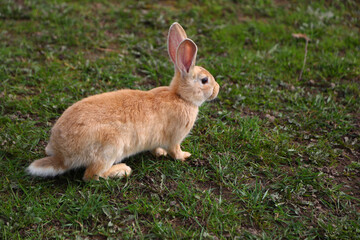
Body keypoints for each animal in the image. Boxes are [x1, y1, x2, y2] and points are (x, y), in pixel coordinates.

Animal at [26, 22, 219, 180]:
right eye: (204, 80)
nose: (217, 89)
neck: (180, 97)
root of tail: (62, 156)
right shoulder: (175, 137)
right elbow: (175, 150)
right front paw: (184, 156)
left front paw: (159, 153)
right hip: (111, 147)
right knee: (92, 175)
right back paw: (122, 170)